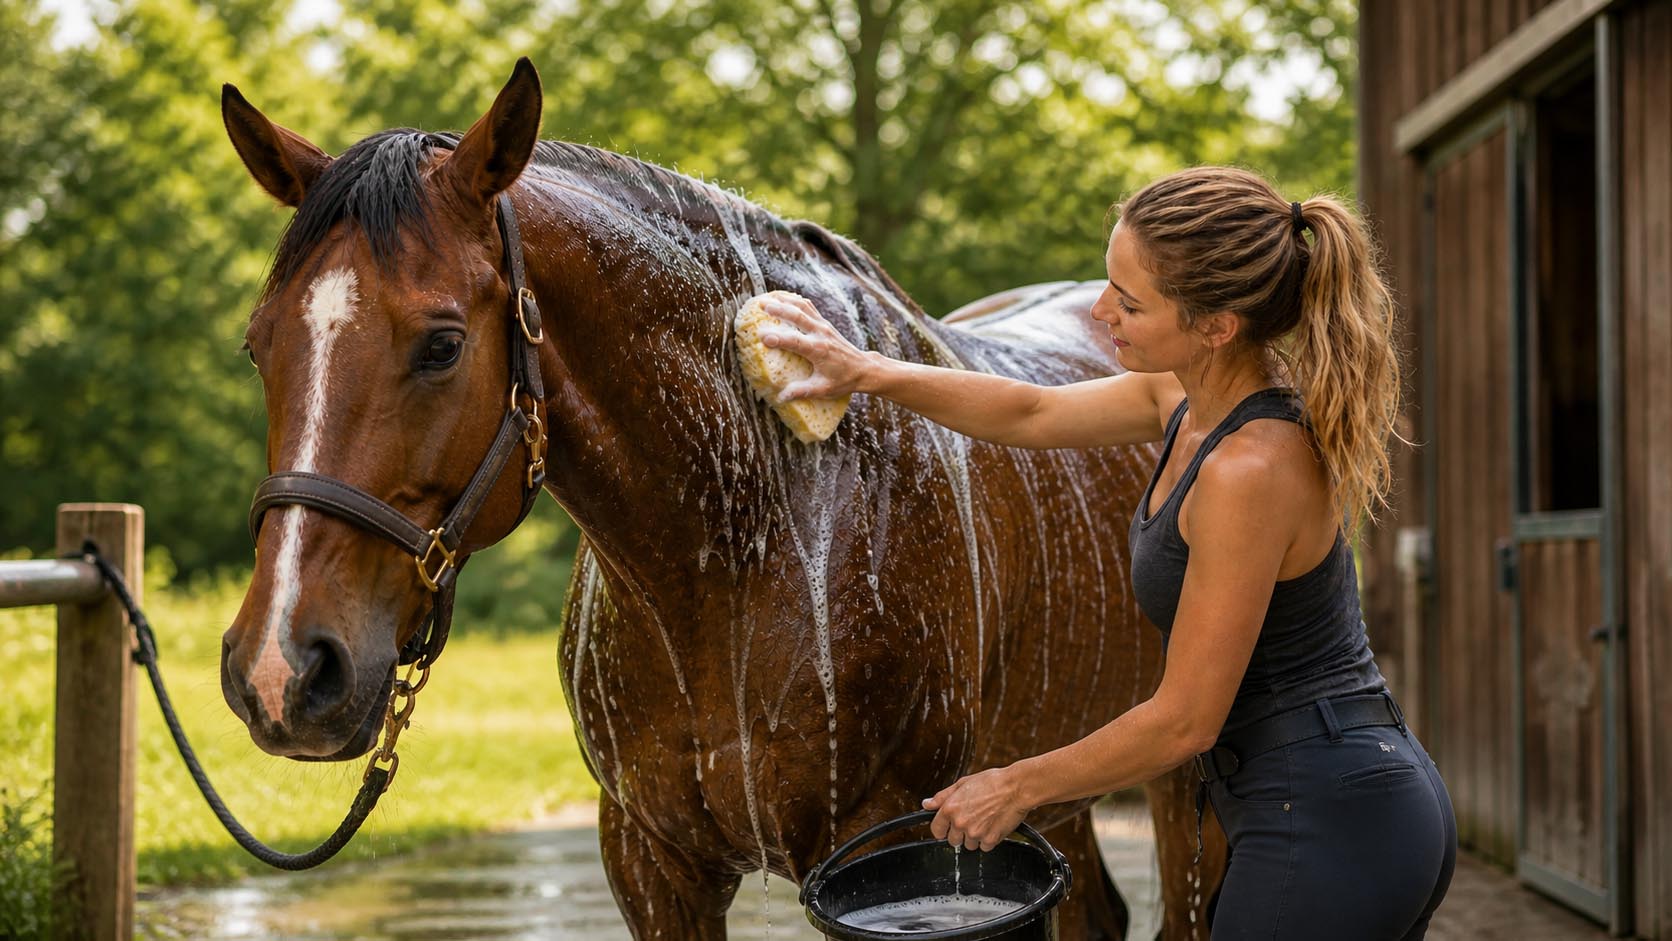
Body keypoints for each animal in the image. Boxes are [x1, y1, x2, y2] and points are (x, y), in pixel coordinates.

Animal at [217, 58, 1228, 939]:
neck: (742, 544)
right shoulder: (651, 862)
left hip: (1183, 790)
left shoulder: (884, 852)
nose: (281, 671)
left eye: (441, 343)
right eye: (259, 345)